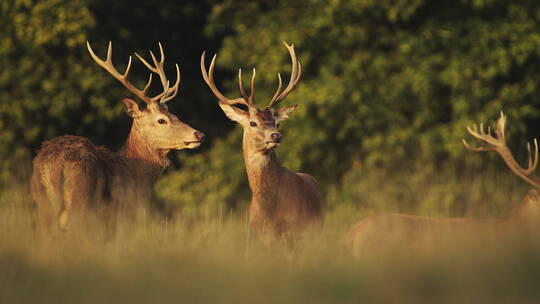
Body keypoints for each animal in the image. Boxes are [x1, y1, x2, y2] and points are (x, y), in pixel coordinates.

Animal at [31, 41, 205, 236]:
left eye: (175, 115)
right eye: (161, 120)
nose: (199, 134)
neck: (136, 176)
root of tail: (57, 164)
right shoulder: (122, 216)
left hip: (43, 204)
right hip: (81, 200)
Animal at [200, 42, 322, 238]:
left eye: (277, 124)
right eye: (252, 122)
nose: (276, 135)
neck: (271, 212)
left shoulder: (296, 229)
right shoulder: (260, 235)